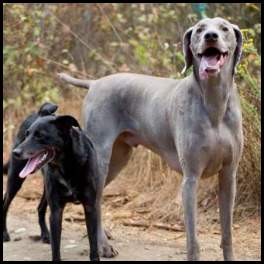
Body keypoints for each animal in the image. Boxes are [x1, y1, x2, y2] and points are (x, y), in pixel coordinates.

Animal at [11, 114, 100, 262]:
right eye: (27, 134)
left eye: (40, 135)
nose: (15, 152)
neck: (67, 166)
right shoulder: (56, 212)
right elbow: (56, 248)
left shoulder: (90, 208)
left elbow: (93, 246)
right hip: (15, 179)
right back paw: (5, 234)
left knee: (40, 208)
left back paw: (45, 234)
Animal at [58, 17, 243, 260]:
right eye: (200, 29)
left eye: (224, 28)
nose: (210, 36)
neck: (213, 103)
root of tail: (95, 83)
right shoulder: (190, 179)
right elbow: (193, 240)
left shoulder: (229, 175)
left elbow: (227, 233)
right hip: (101, 156)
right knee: (96, 198)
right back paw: (103, 245)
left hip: (119, 158)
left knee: (96, 197)